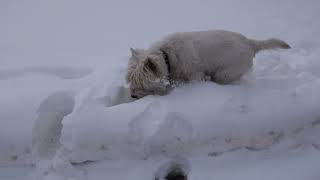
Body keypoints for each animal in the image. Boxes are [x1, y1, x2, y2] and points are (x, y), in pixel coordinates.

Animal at [126, 29, 292, 98]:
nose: (133, 96)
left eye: (140, 82)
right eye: (130, 80)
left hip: (225, 73)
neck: (167, 56)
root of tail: (250, 43)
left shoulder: (195, 75)